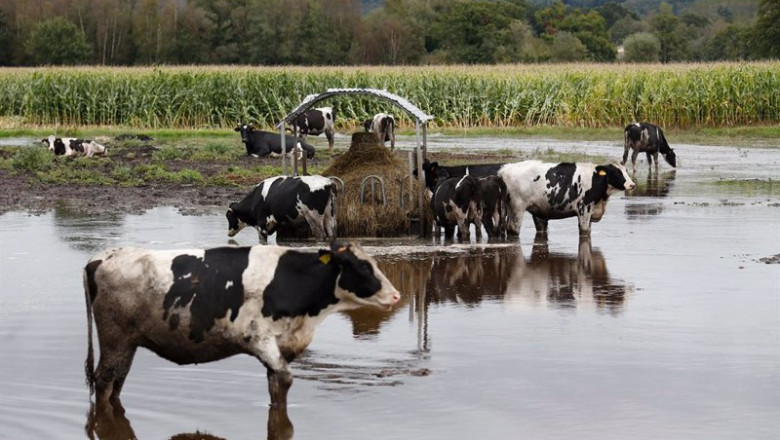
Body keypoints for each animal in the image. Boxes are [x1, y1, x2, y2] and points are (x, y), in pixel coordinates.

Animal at [83, 242, 402, 408]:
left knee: (117, 383)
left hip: (128, 343)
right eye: (361, 267)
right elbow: (285, 380)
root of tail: (101, 257)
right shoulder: (259, 338)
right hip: (114, 339)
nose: (397, 295)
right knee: (103, 382)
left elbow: (276, 387)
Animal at [498, 160, 635, 238]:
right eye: (616, 172)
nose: (632, 185)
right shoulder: (584, 209)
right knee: (513, 229)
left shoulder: (590, 211)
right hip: (517, 208)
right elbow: (584, 232)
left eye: (626, 170)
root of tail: (505, 169)